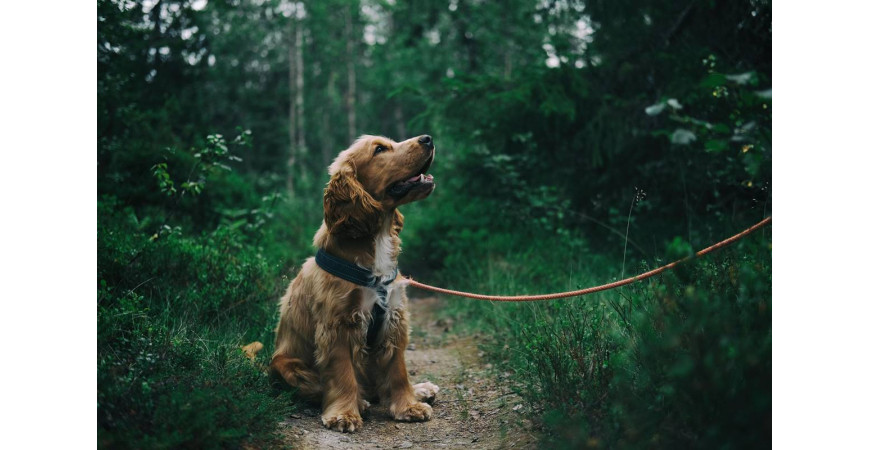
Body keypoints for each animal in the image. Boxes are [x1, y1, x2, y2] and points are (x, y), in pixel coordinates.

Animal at [270, 134, 440, 432]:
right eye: (380, 149)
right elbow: (342, 373)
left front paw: (408, 405)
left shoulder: (394, 318)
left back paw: (420, 389)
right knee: (320, 387)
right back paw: (360, 401)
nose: (428, 138)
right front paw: (344, 414)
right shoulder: (338, 324)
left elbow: (398, 370)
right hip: (285, 365)